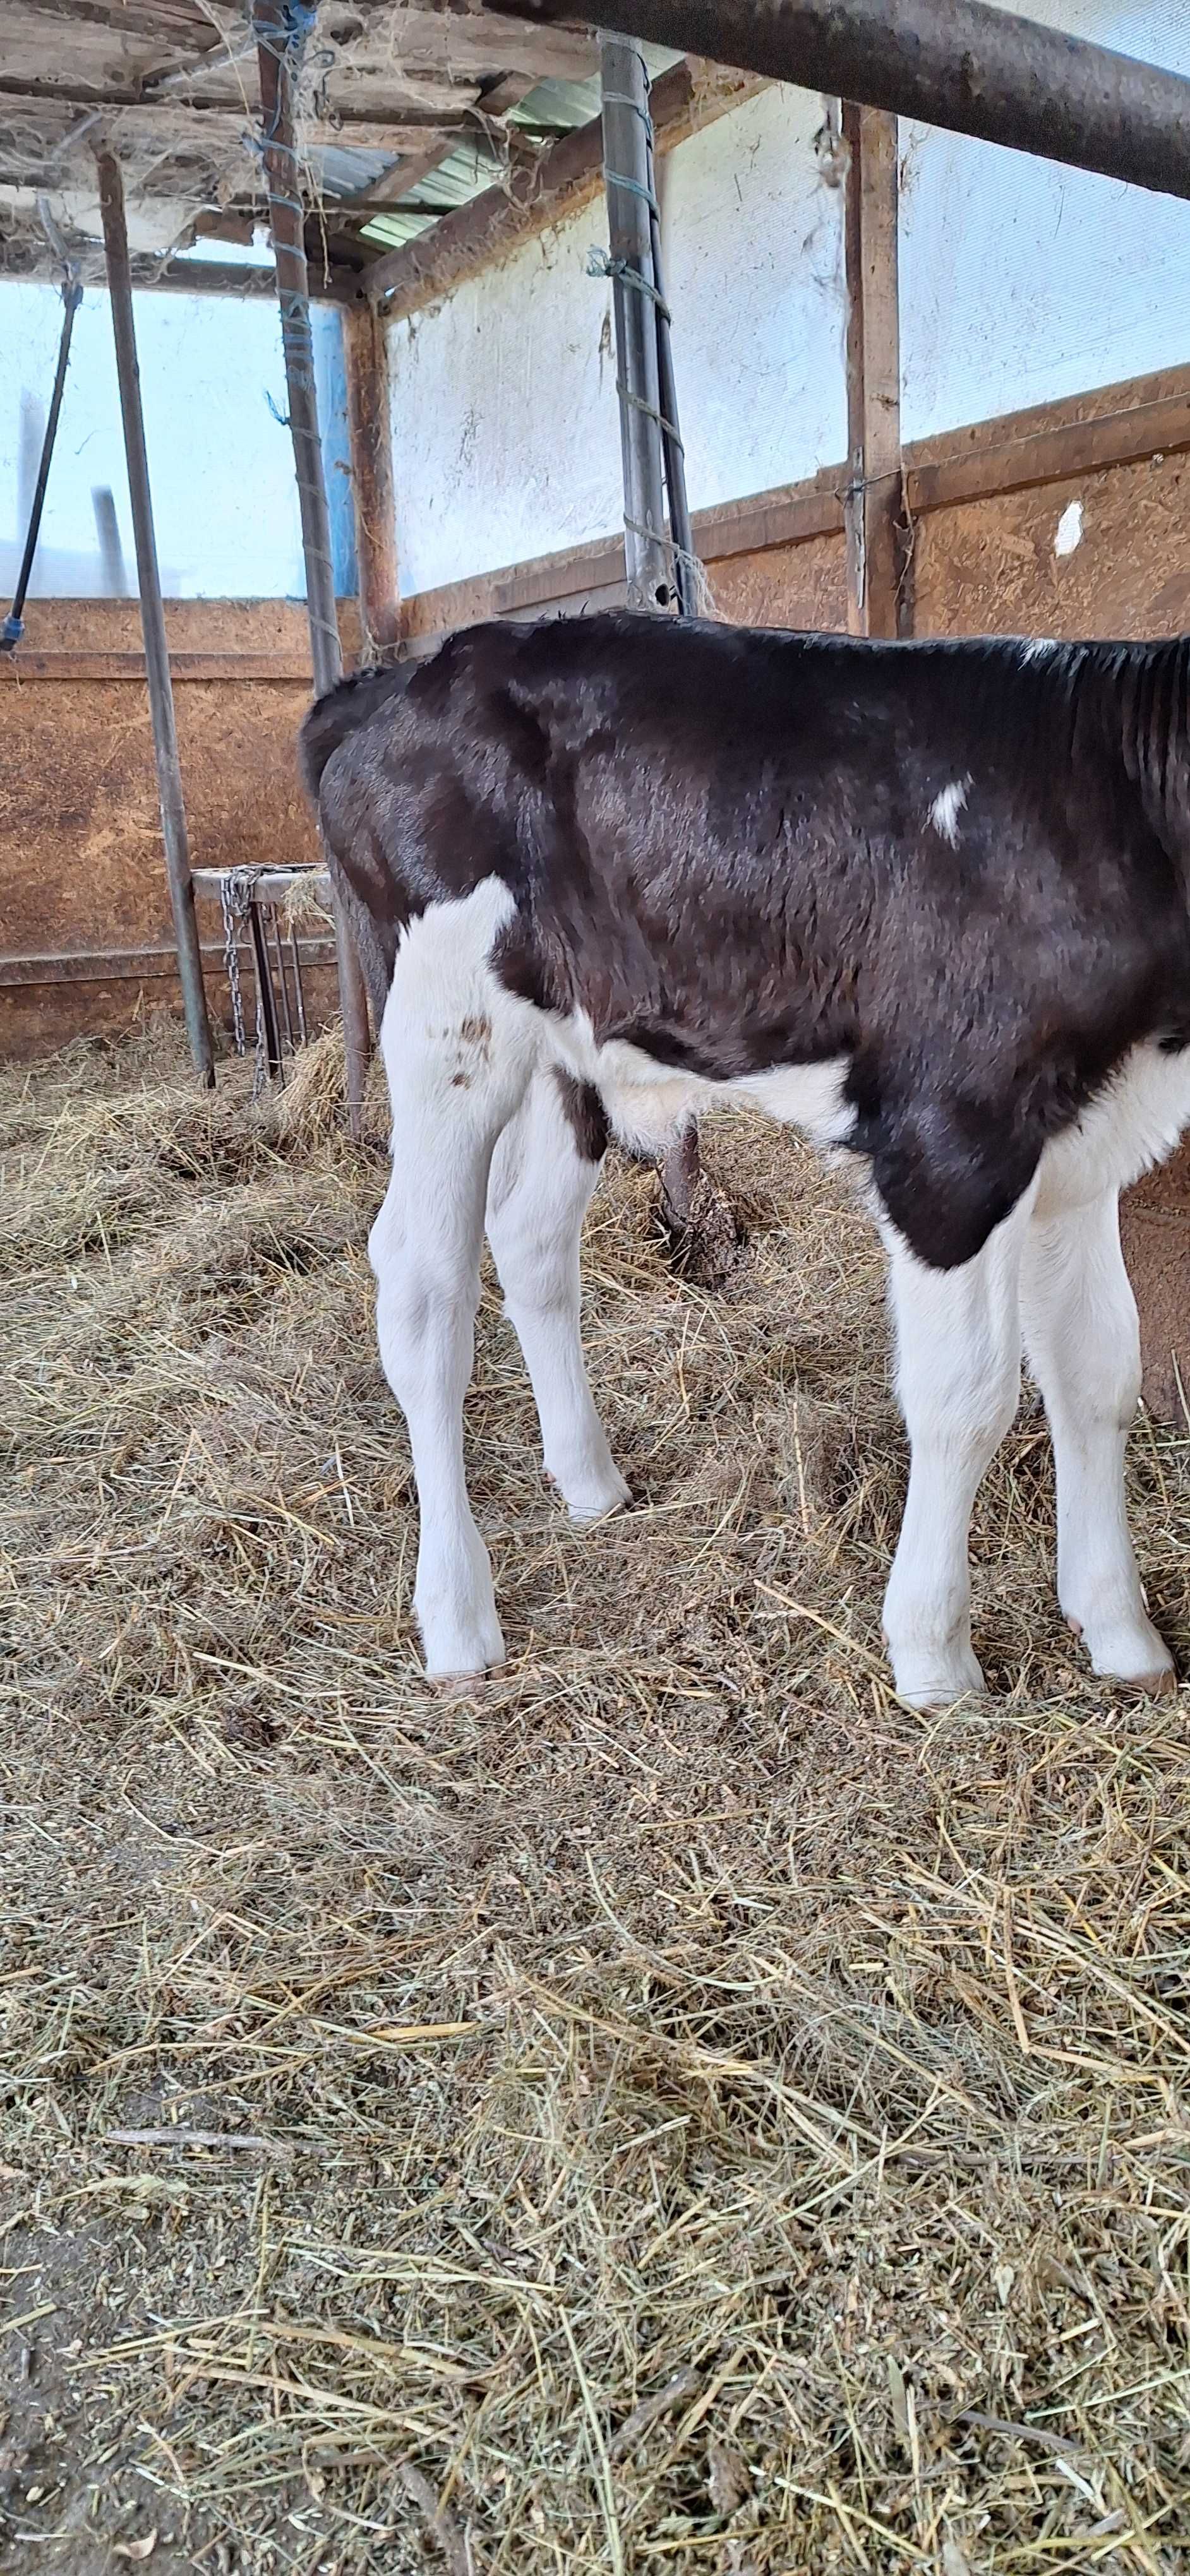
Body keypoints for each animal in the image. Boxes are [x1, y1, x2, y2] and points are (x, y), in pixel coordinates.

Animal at [300, 613, 1189, 1710]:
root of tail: (395, 680)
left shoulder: (1088, 1141)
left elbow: (1098, 1371)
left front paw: (1123, 1634)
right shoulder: (951, 1136)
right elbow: (966, 1399)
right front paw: (935, 1660)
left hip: (567, 1044)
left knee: (533, 1236)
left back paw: (591, 1485)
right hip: (444, 1018)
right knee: (422, 1285)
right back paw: (460, 1624)